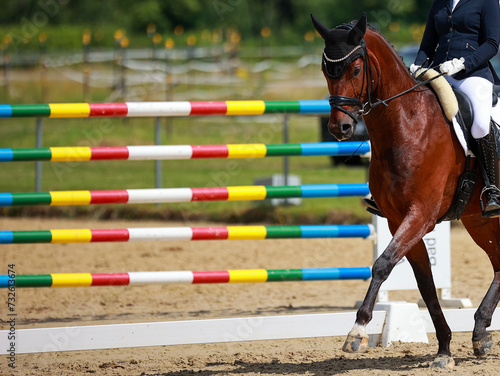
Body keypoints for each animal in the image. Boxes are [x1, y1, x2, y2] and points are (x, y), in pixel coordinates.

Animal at [314, 13, 500, 368]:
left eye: (355, 69)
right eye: (325, 70)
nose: (339, 128)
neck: (407, 126)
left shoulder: (421, 215)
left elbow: (383, 264)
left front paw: (357, 332)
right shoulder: (397, 219)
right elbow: (425, 285)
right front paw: (444, 350)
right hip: (481, 221)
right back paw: (481, 333)